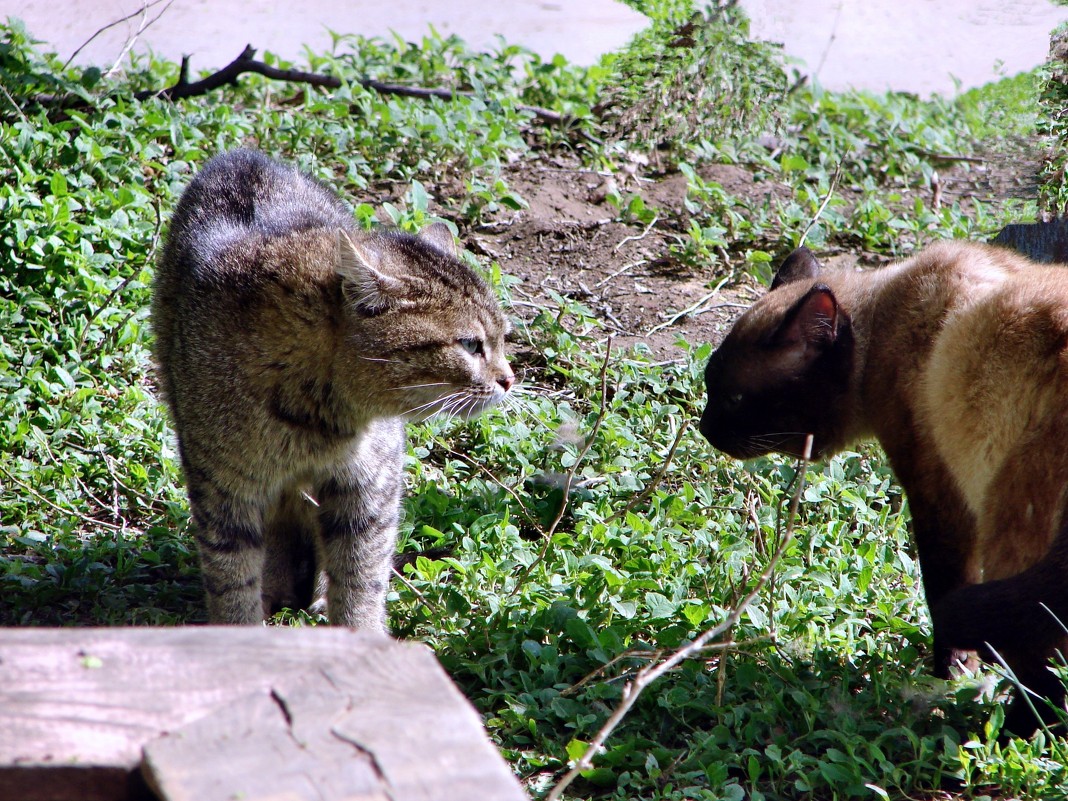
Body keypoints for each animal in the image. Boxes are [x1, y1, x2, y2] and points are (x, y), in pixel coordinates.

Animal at [152, 147, 514, 632]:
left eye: (503, 338)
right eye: (471, 345)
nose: (509, 379)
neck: (317, 415)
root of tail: (242, 154)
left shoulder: (369, 486)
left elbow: (362, 574)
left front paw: (360, 634)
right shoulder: (223, 488)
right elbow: (231, 579)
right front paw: (244, 631)